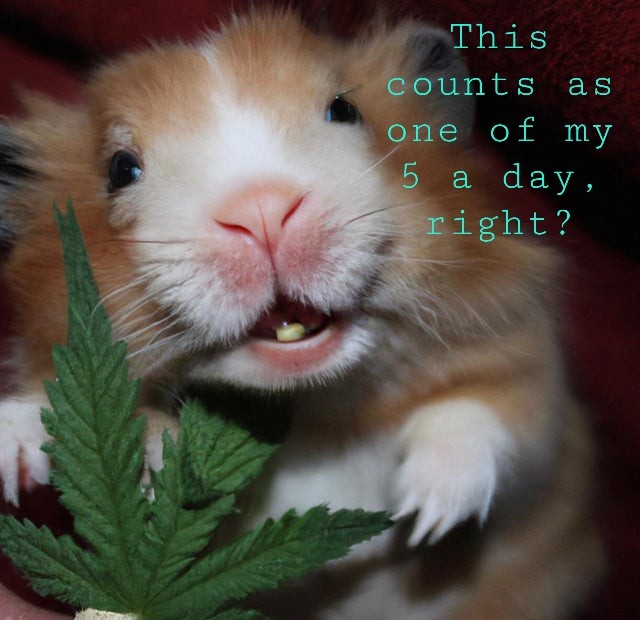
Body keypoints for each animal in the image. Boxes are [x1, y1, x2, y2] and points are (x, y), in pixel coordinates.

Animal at [0, 9, 602, 619]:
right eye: (121, 170)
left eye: (344, 110)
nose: (262, 212)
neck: (316, 411)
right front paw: (17, 460)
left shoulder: (535, 386)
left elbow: (488, 414)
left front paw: (424, 516)